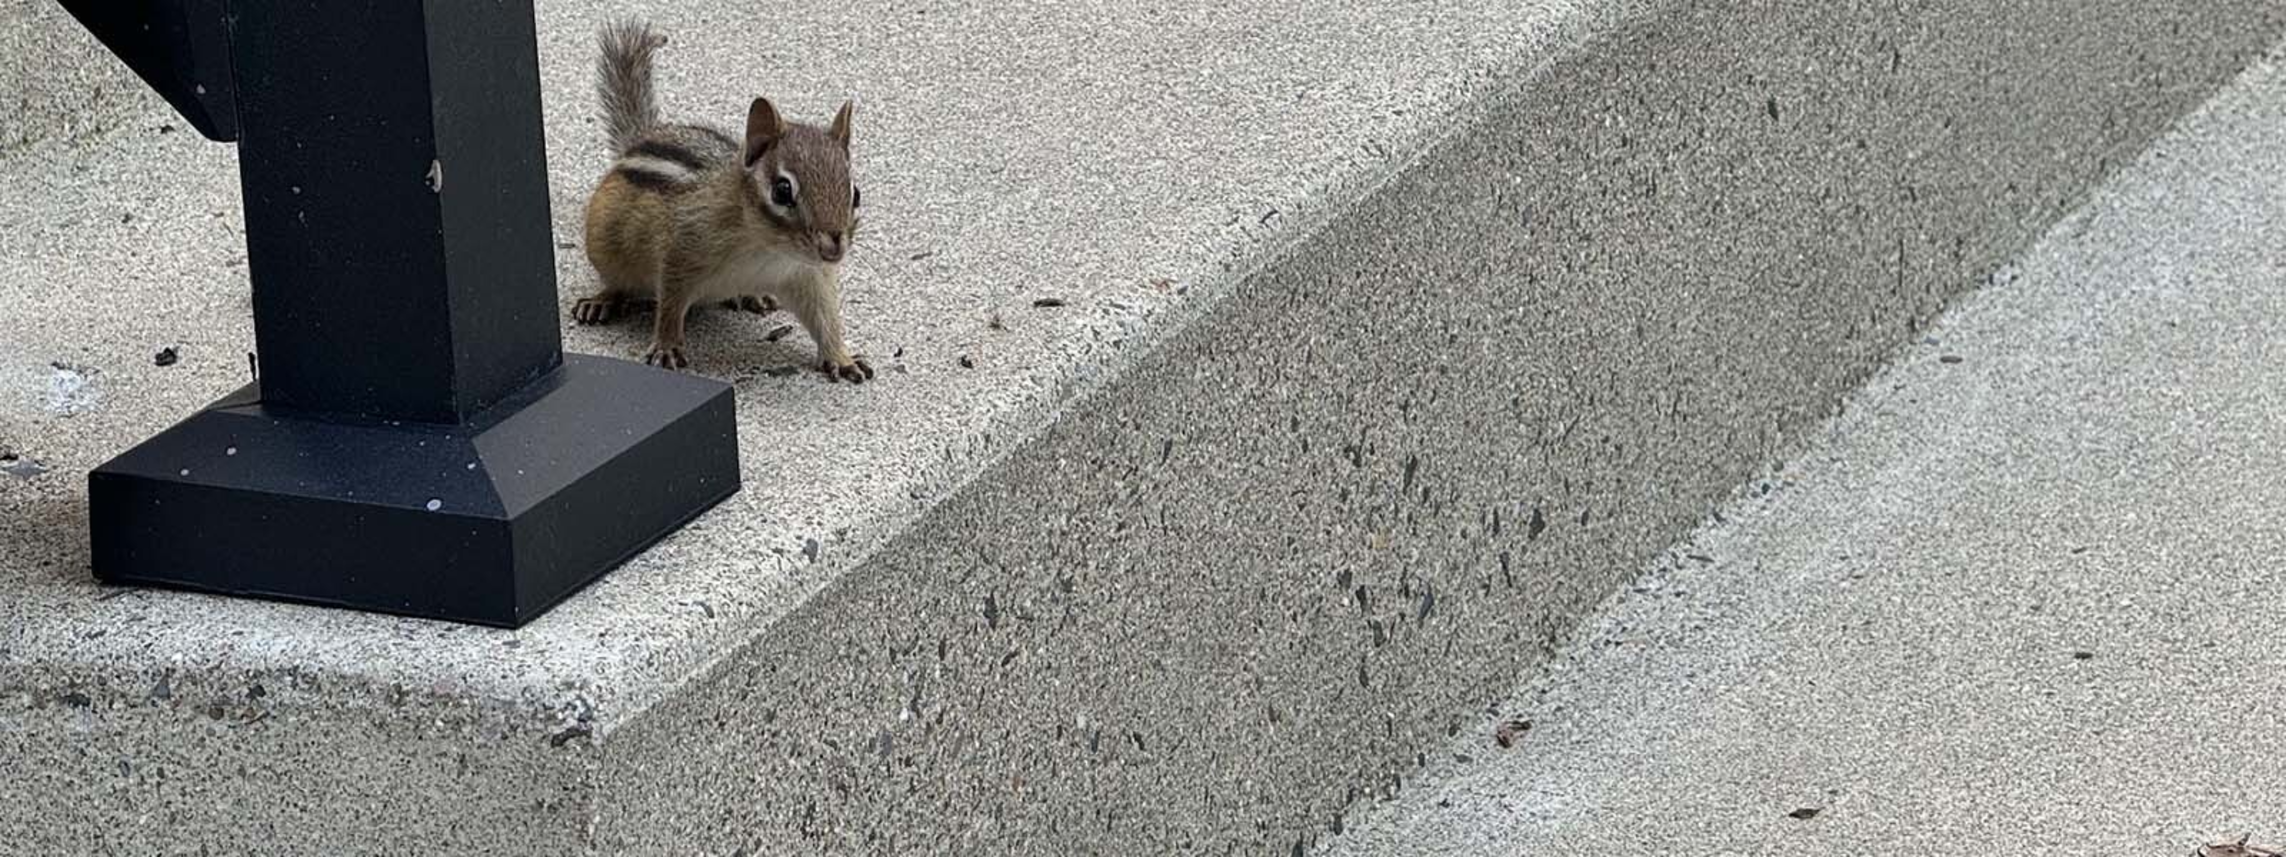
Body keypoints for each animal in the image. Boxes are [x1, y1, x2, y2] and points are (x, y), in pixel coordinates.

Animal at [574, 21, 875, 383]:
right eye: (782, 191)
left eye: (855, 193)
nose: (833, 249)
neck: (769, 249)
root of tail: (639, 140)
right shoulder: (681, 251)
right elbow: (670, 304)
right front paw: (667, 346)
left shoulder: (808, 277)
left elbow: (826, 319)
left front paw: (841, 357)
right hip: (604, 248)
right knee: (617, 281)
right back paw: (601, 300)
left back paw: (754, 295)